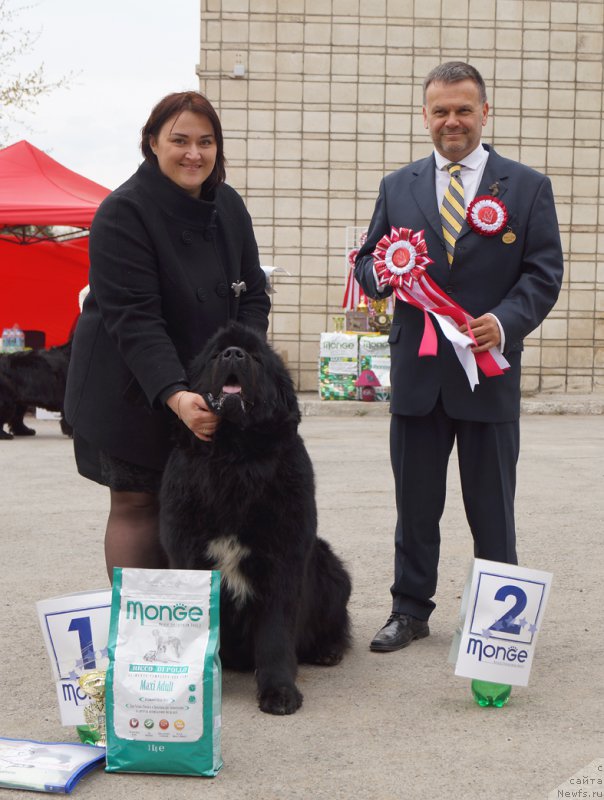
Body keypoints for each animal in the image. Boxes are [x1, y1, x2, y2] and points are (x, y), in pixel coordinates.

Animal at [160, 322, 352, 716]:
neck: (235, 458)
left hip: (330, 567)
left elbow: (275, 635)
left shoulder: (282, 562)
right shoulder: (187, 556)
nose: (234, 354)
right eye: (217, 354)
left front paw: (279, 692)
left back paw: (328, 650)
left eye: (256, 357)